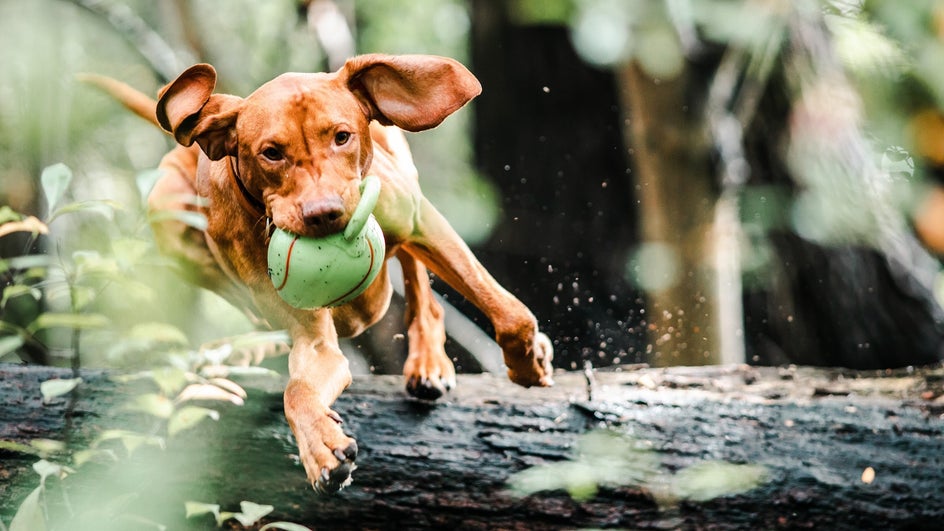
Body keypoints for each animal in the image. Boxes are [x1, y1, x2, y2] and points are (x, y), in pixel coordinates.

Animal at [88, 55, 552, 494]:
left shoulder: (422, 223)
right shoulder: (312, 339)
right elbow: (298, 388)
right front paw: (321, 448)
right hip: (167, 210)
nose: (324, 213)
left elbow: (510, 314)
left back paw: (428, 361)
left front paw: (528, 363)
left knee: (420, 285)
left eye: (341, 136)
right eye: (271, 152)